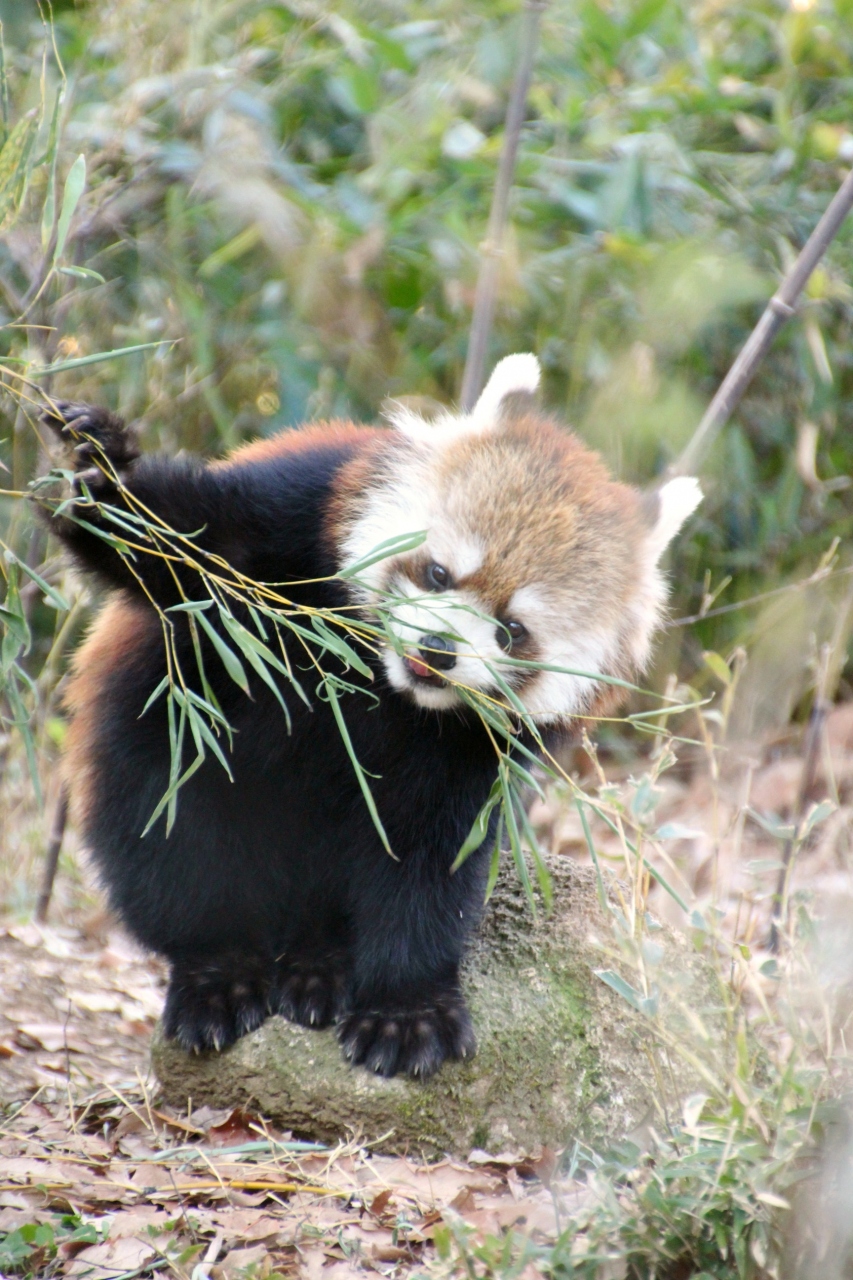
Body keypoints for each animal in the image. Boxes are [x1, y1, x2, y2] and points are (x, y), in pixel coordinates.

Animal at [41, 353, 696, 1080]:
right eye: (438, 573)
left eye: (511, 631)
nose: (437, 651)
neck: (387, 689)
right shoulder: (295, 517)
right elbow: (186, 545)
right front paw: (102, 469)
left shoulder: (470, 753)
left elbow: (428, 864)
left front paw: (405, 1008)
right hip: (152, 736)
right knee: (169, 831)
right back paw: (219, 970)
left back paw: (318, 965)